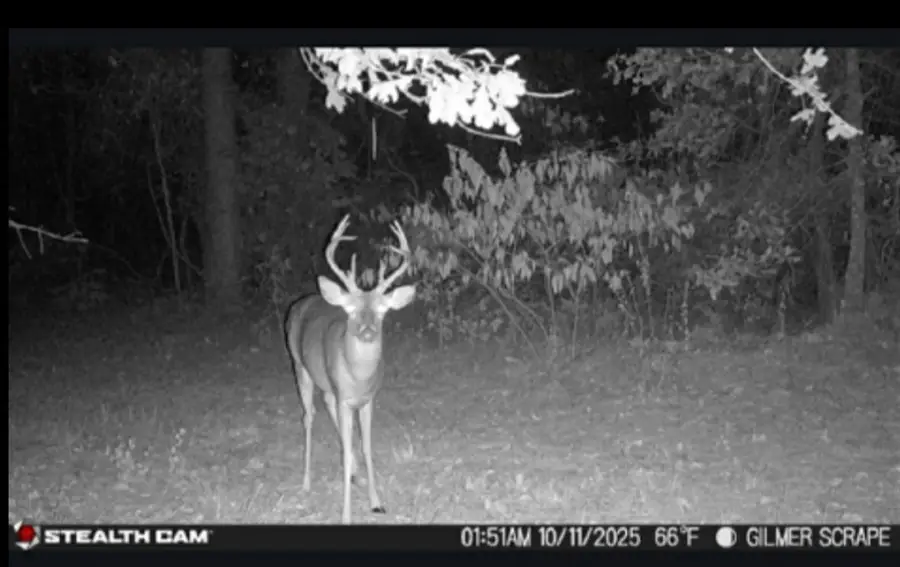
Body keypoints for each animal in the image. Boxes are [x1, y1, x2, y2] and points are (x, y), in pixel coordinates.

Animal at [284, 214, 416, 524]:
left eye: (382, 311)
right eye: (351, 310)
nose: (367, 331)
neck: (358, 378)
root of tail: (302, 301)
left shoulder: (366, 399)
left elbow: (366, 446)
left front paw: (376, 502)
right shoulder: (346, 398)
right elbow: (344, 449)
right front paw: (346, 515)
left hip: (328, 385)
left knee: (327, 405)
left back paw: (355, 474)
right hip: (299, 366)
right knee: (308, 416)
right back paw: (306, 482)